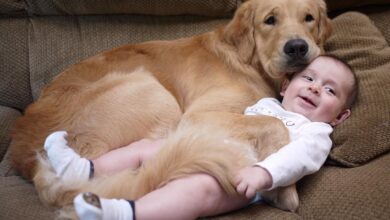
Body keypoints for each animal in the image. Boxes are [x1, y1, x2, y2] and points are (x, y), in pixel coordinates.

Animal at [9, 0, 330, 215]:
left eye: (309, 18)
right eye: (270, 20)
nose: (297, 47)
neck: (247, 61)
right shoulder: (199, 116)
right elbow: (274, 123)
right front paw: (283, 191)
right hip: (152, 92)